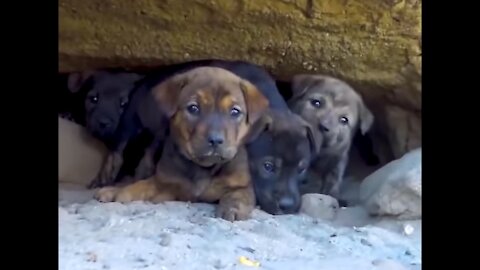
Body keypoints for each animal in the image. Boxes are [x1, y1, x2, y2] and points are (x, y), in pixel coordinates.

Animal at [94, 67, 270, 221]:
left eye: (235, 111)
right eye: (193, 108)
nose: (215, 140)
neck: (203, 168)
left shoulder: (242, 185)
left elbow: (238, 196)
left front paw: (233, 209)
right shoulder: (164, 183)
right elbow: (139, 186)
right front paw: (121, 193)